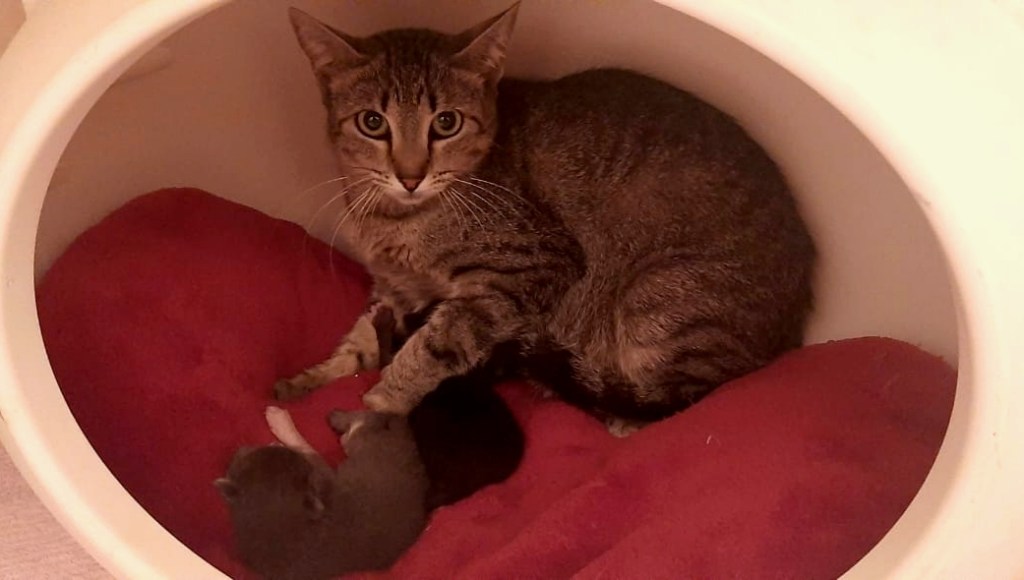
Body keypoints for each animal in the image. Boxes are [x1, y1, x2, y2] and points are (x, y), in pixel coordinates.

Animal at [275, 3, 816, 431]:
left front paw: (383, 400)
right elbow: (361, 336)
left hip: (663, 300)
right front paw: (312, 378)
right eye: (373, 123)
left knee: (666, 401)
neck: (399, 218)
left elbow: (433, 345)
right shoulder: (395, 287)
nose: (411, 175)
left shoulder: (529, 268)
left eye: (446, 123)